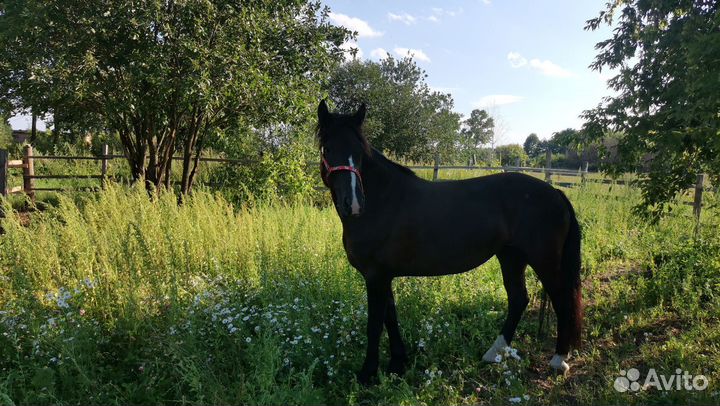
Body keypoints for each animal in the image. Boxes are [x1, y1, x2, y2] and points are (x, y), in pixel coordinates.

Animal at [316, 100, 582, 385]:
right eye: (327, 148)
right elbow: (390, 316)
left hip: (544, 261)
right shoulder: (383, 276)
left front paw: (368, 373)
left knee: (562, 301)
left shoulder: (376, 276)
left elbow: (375, 324)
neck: (382, 201)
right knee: (518, 299)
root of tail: (555, 192)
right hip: (511, 256)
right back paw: (494, 353)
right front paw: (398, 362)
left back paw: (558, 360)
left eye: (359, 152)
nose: (353, 204)